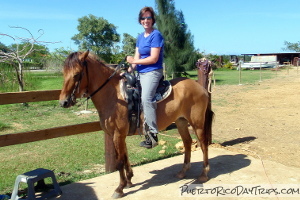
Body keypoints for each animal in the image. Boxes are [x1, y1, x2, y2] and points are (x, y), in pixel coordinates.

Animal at [58, 50, 213, 198]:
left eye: (77, 74)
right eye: (64, 73)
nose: (63, 102)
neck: (114, 96)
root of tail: (200, 87)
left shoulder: (118, 134)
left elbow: (120, 161)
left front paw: (120, 188)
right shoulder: (117, 135)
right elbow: (125, 156)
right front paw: (128, 181)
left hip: (197, 123)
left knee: (203, 143)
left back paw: (204, 174)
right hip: (181, 122)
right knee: (187, 142)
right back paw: (183, 171)